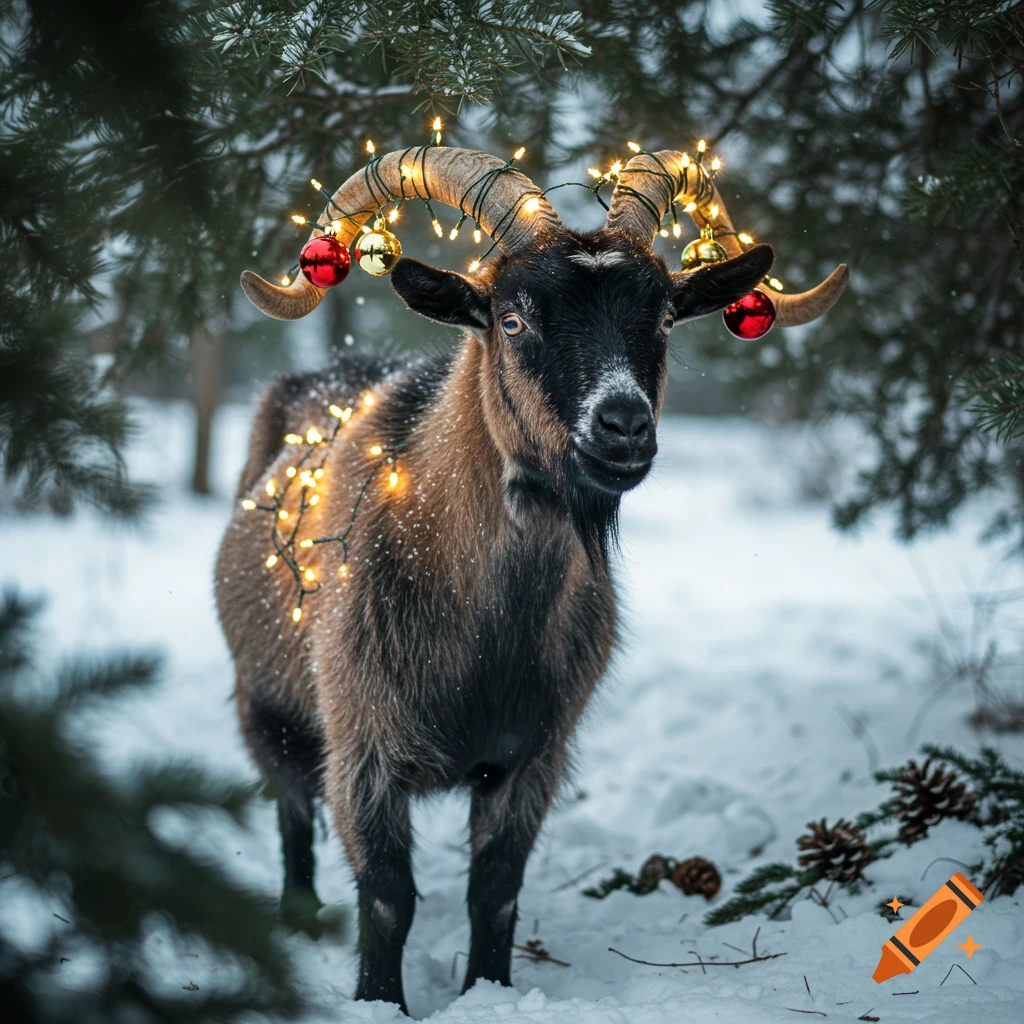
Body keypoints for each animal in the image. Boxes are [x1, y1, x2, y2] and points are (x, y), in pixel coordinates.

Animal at [216, 145, 847, 1013]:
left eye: (661, 318)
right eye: (512, 320)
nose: (623, 425)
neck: (478, 633)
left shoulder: (534, 757)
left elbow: (496, 890)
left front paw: (487, 989)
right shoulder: (362, 748)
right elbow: (387, 894)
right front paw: (379, 1000)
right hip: (267, 707)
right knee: (290, 816)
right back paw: (299, 918)